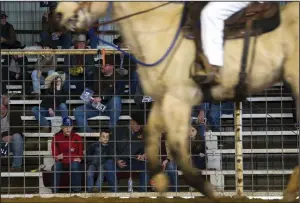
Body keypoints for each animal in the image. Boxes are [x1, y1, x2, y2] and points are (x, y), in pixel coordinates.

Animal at [55, 1, 298, 198]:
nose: (57, 14)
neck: (158, 28)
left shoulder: (178, 100)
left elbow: (179, 152)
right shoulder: (162, 101)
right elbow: (153, 142)